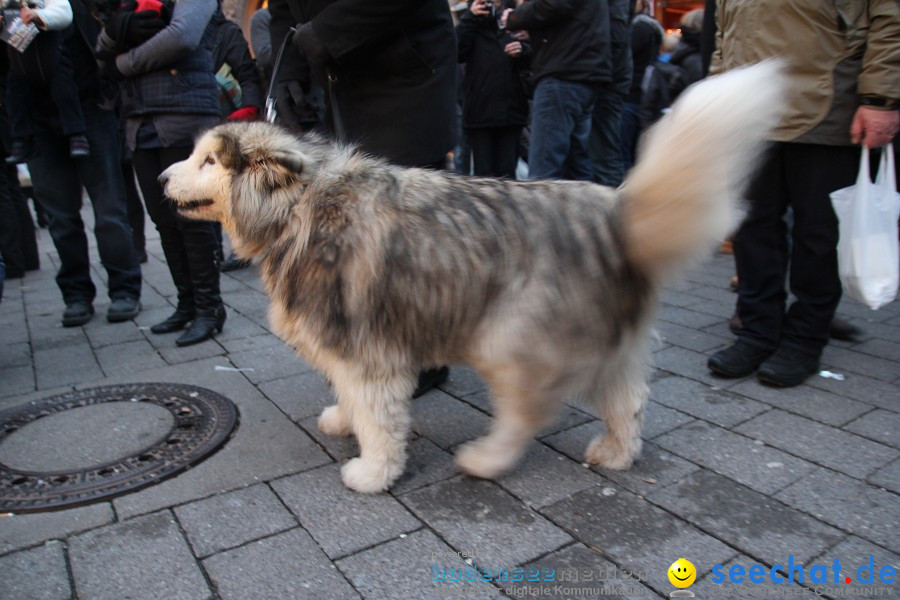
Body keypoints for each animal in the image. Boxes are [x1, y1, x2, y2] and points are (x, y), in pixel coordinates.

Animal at [165, 62, 784, 492]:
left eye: (209, 162)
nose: (161, 176)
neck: (298, 208)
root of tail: (616, 216)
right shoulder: (347, 343)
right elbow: (350, 397)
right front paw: (344, 420)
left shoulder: (369, 351)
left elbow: (379, 418)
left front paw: (374, 472)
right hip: (608, 344)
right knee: (626, 400)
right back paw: (616, 451)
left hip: (510, 339)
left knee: (527, 413)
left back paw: (486, 459)